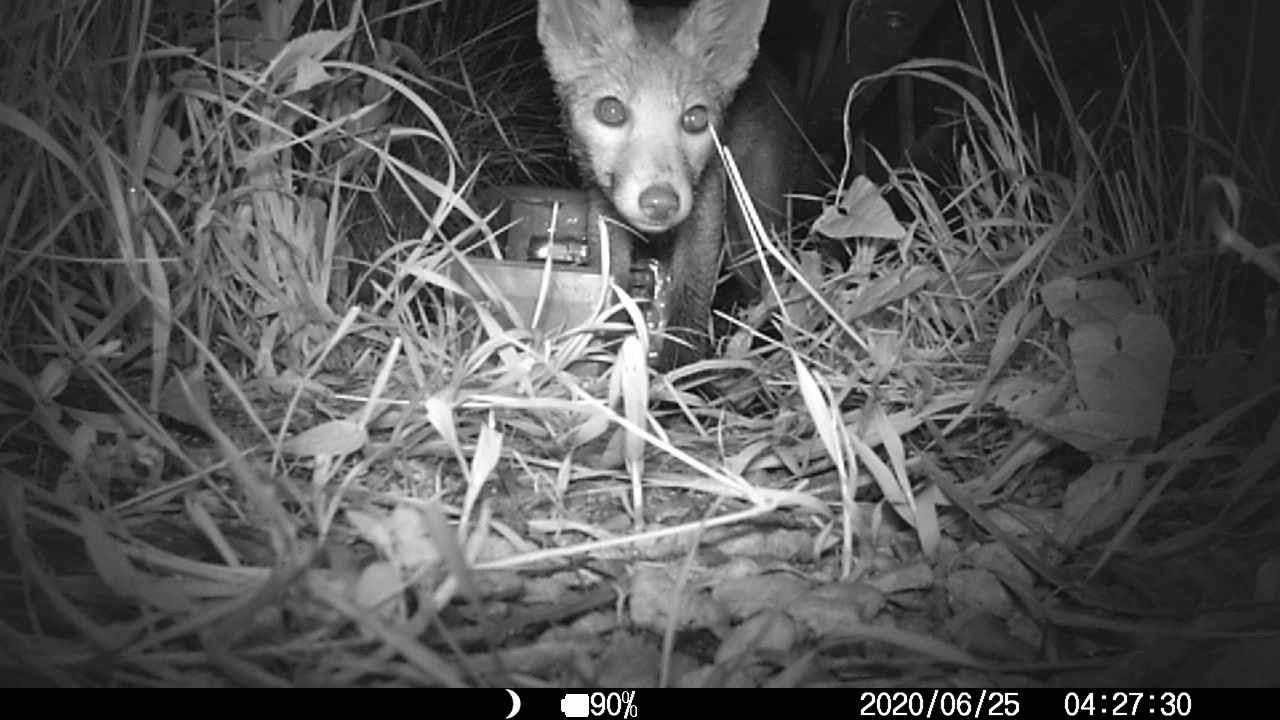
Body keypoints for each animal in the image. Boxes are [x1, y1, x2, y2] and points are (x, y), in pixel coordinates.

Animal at [536, 0, 802, 370]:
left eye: (696, 119)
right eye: (611, 111)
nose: (660, 202)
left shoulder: (706, 201)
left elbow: (690, 300)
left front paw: (680, 374)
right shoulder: (604, 207)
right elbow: (612, 286)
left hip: (754, 225)